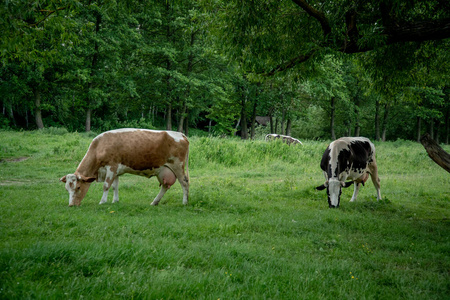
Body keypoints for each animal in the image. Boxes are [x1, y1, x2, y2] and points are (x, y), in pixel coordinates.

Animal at [59, 129, 189, 206]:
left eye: (78, 187)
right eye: (67, 189)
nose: (71, 205)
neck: (99, 147)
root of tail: (180, 134)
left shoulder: (112, 167)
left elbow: (106, 186)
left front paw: (102, 201)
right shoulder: (116, 171)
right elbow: (115, 186)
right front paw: (115, 201)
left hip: (178, 166)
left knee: (184, 183)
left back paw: (184, 202)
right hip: (163, 171)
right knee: (165, 186)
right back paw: (154, 202)